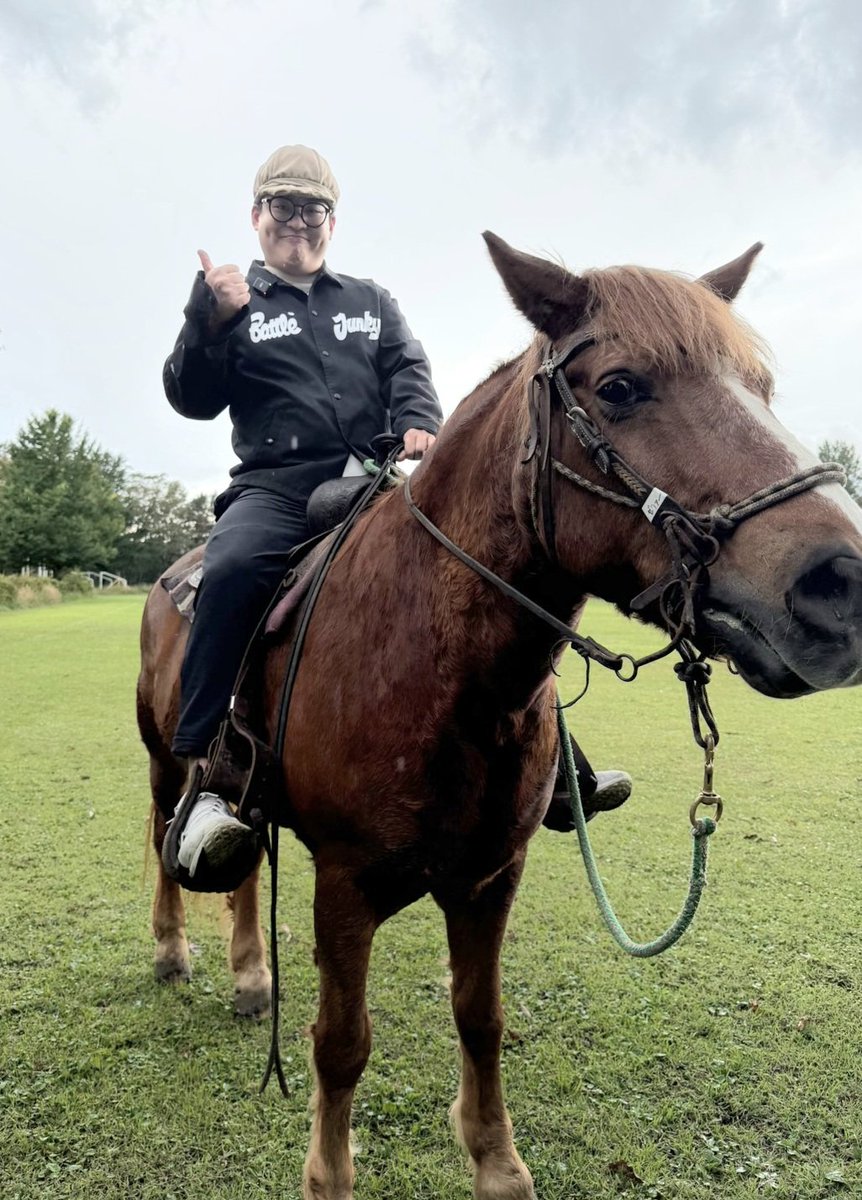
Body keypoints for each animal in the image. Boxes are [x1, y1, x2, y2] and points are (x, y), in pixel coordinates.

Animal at [137, 233, 862, 1200]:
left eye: (761, 387)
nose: (841, 584)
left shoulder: (490, 877)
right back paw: (172, 951)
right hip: (164, 760)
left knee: (244, 864)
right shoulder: (346, 884)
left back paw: (252, 974)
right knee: (164, 838)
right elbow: (341, 1045)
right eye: (620, 386)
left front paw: (496, 1162)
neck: (444, 674)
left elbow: (480, 1017)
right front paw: (329, 1174)